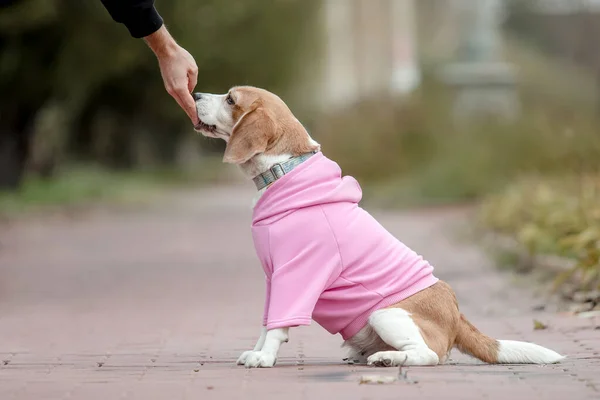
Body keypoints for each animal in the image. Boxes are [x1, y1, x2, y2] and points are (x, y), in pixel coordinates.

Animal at [193, 86, 568, 368]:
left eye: (231, 99)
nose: (194, 93)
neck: (284, 169)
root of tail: (457, 314)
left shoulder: (296, 274)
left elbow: (279, 324)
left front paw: (265, 357)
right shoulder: (274, 278)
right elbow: (267, 321)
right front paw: (257, 351)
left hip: (384, 315)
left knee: (428, 355)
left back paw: (388, 359)